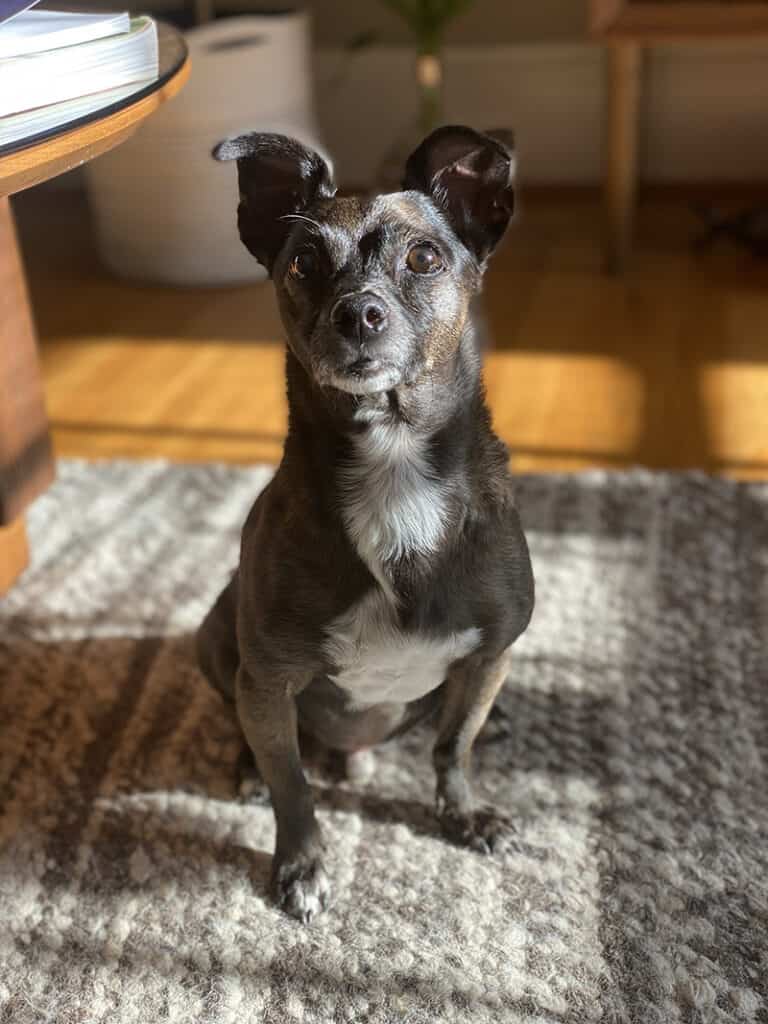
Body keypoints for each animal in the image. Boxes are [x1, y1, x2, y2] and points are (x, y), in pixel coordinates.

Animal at [198, 125, 536, 921]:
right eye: (303, 262)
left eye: (425, 258)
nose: (358, 313)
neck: (393, 464)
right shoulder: (270, 681)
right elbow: (293, 785)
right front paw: (302, 866)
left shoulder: (492, 653)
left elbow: (453, 747)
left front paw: (465, 816)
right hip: (217, 638)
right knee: (245, 721)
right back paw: (245, 767)